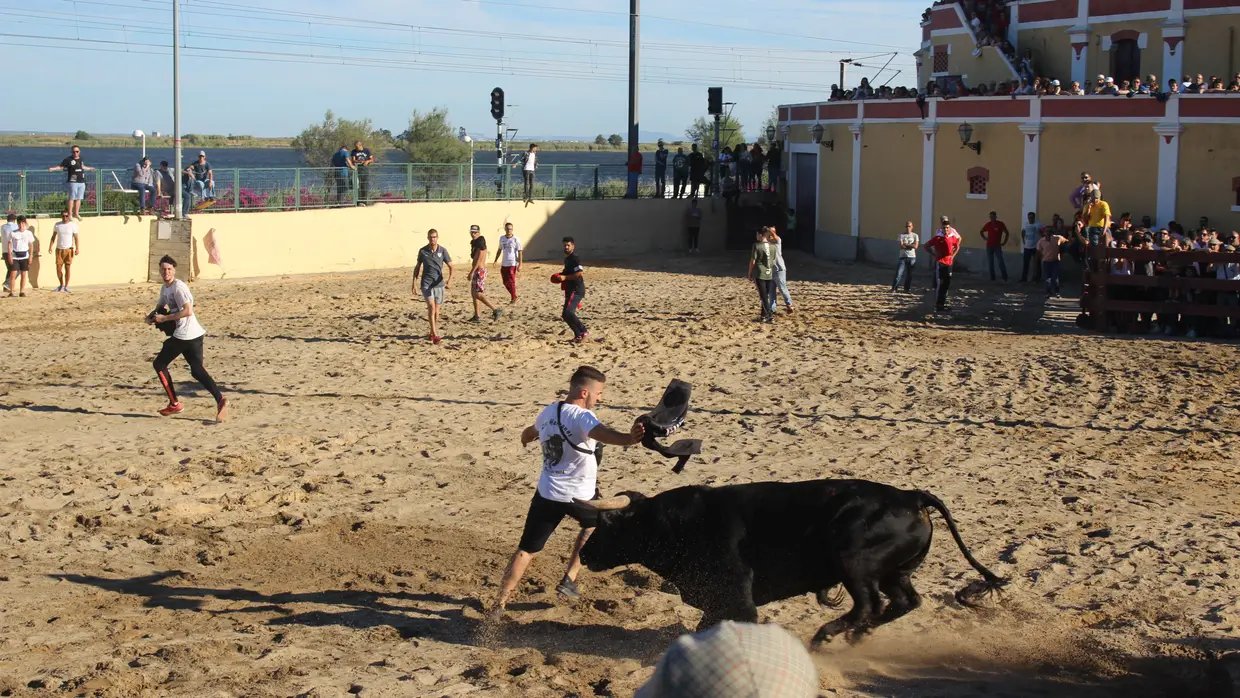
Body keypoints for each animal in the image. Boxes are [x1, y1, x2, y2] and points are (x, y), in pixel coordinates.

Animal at [577, 478, 1006, 649]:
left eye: (609, 524)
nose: (583, 554)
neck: (677, 525)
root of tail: (910, 495)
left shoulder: (735, 597)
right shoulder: (717, 602)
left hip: (854, 563)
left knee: (869, 604)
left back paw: (826, 637)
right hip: (893, 572)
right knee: (904, 601)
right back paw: (857, 636)